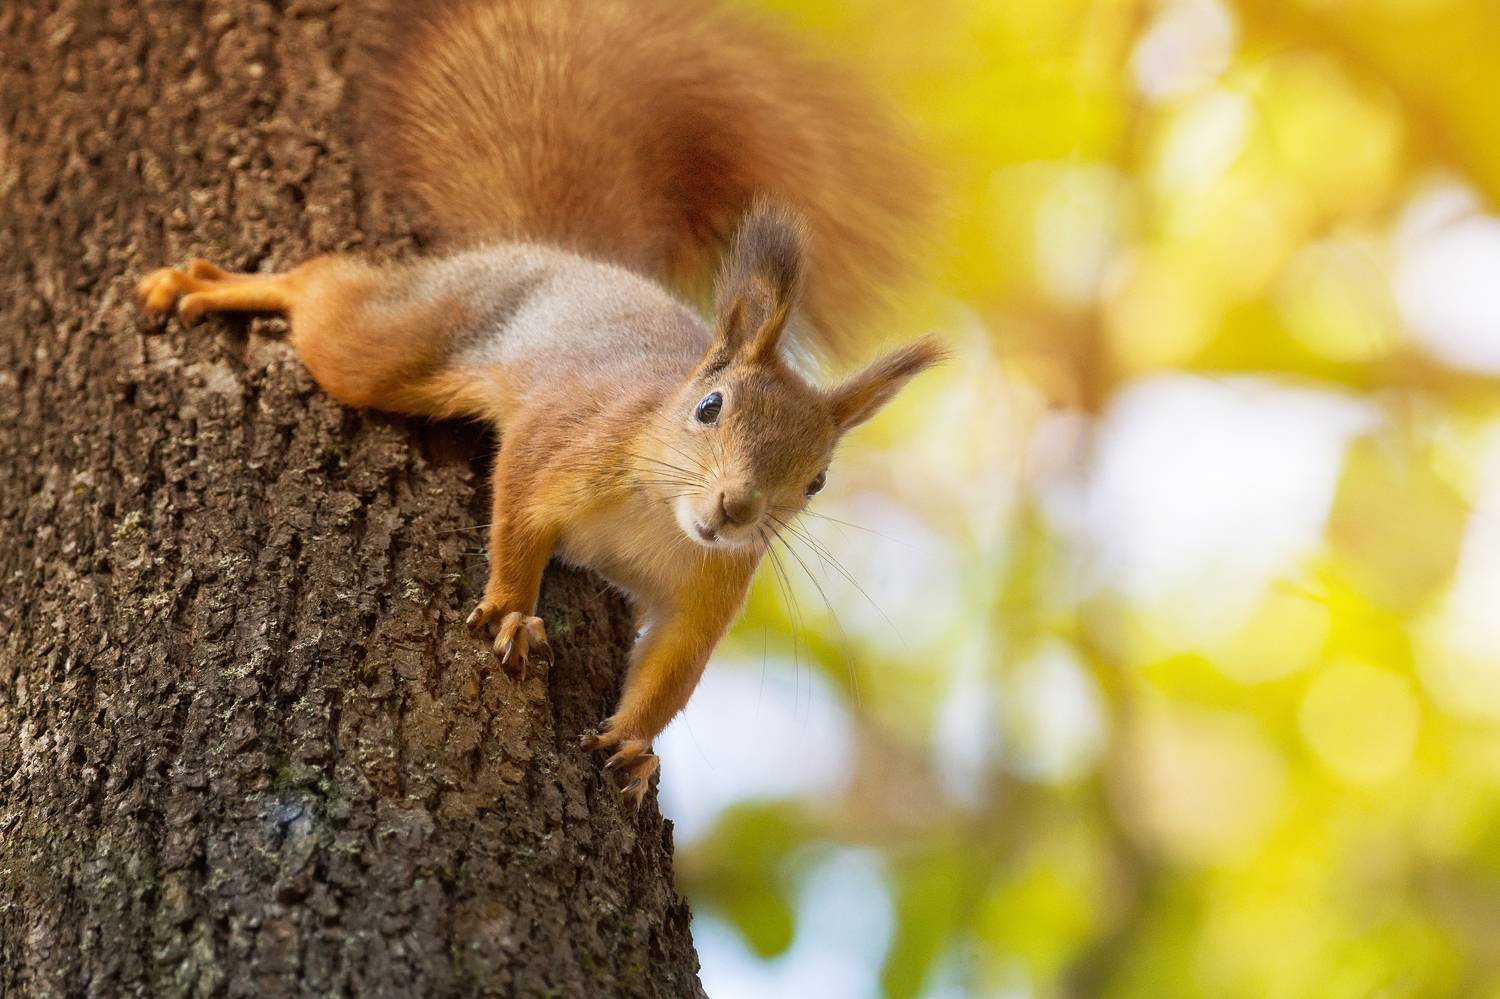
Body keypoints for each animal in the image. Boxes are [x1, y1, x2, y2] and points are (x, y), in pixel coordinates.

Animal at [136, 0, 943, 807]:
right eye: (710, 407)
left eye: (816, 482)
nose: (736, 509)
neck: (659, 512)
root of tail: (558, 255)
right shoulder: (566, 438)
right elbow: (518, 516)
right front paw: (513, 612)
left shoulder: (713, 586)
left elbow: (672, 669)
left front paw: (634, 745)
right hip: (404, 338)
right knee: (322, 294)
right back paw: (213, 284)